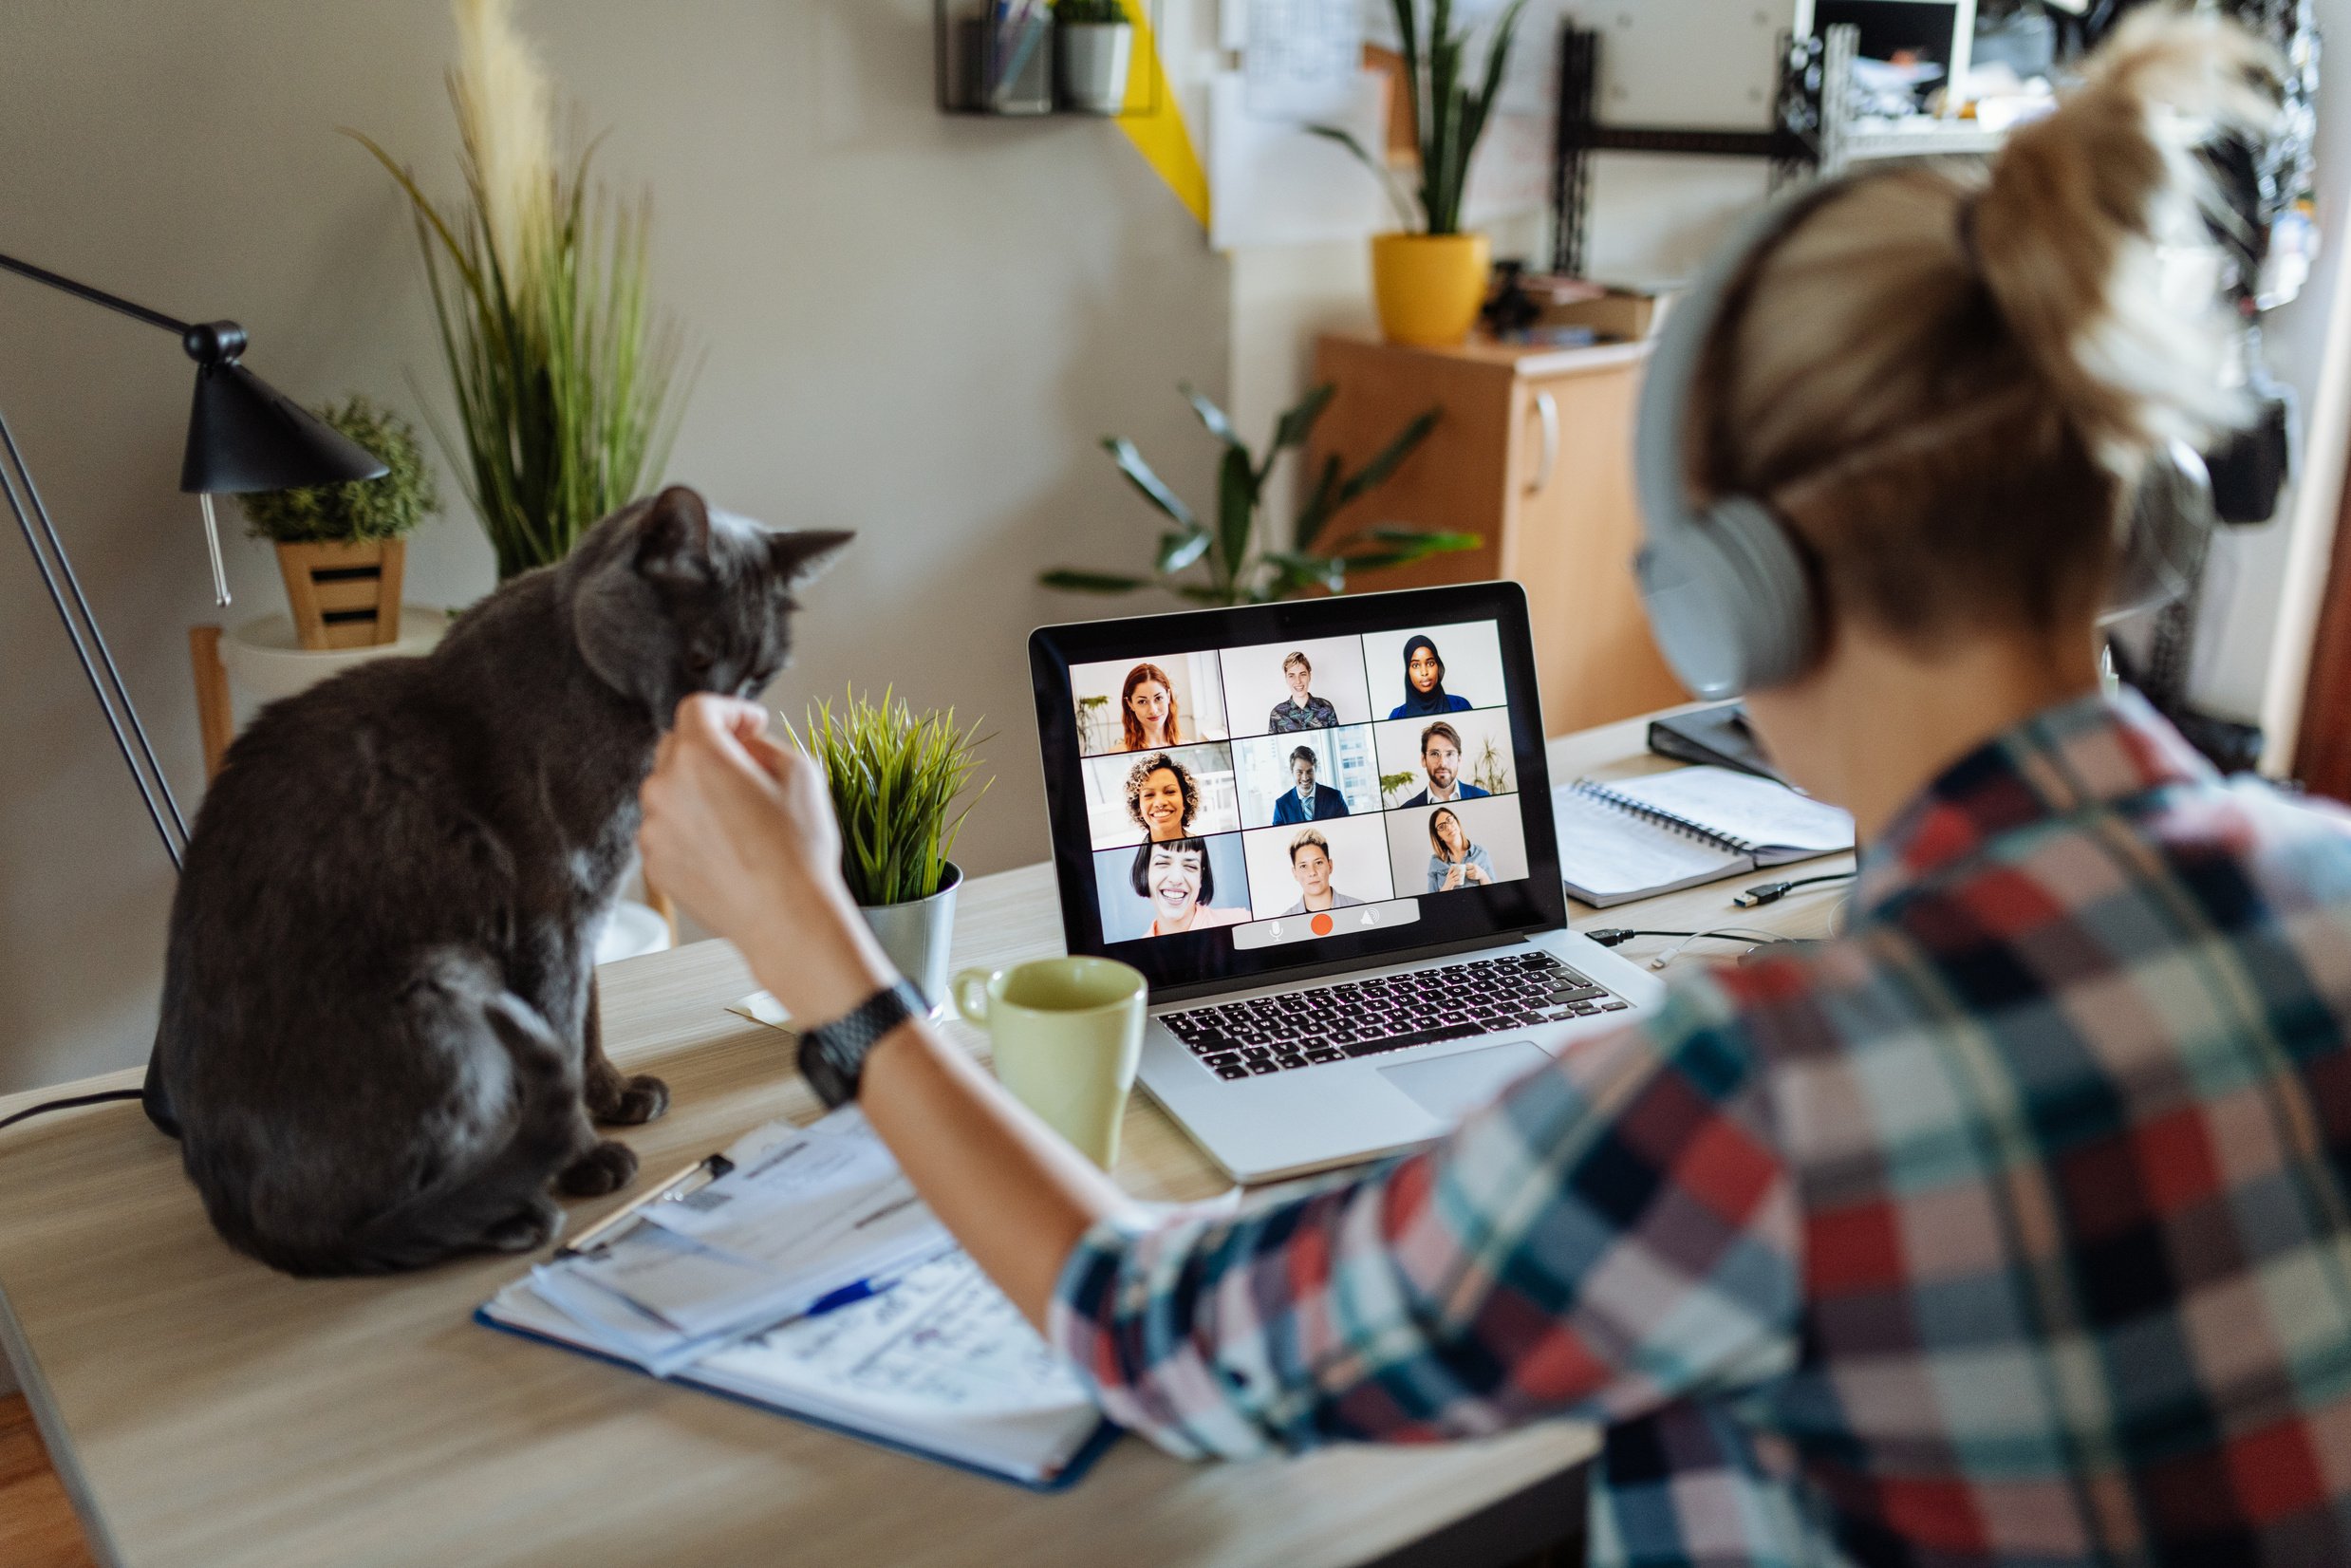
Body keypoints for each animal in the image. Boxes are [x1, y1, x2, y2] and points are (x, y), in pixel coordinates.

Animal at [149, 486, 846, 1279]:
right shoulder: (552, 904)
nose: (730, 711)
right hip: (449, 981)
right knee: (361, 1220)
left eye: (761, 672)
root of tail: (233, 1214)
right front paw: (585, 1158)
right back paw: (509, 1207)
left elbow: (585, 1015)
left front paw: (612, 1092)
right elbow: (559, 1025)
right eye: (699, 654)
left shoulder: (587, 904)